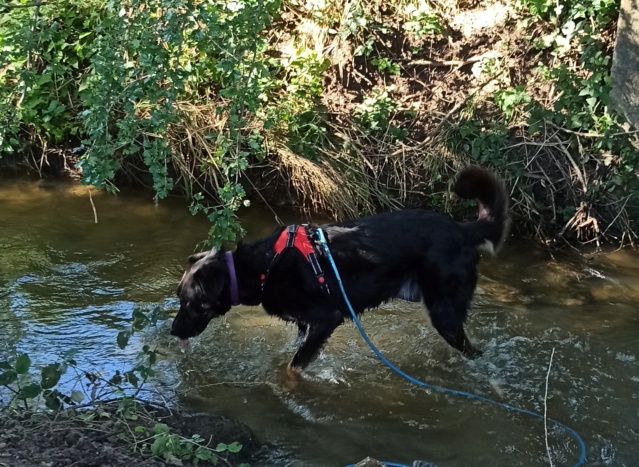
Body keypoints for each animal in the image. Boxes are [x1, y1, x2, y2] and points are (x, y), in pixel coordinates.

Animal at [171, 167, 510, 376]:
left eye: (191, 303)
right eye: (181, 300)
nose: (173, 332)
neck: (261, 268)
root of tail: (461, 230)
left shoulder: (326, 319)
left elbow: (293, 366)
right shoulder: (305, 325)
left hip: (444, 313)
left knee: (471, 349)